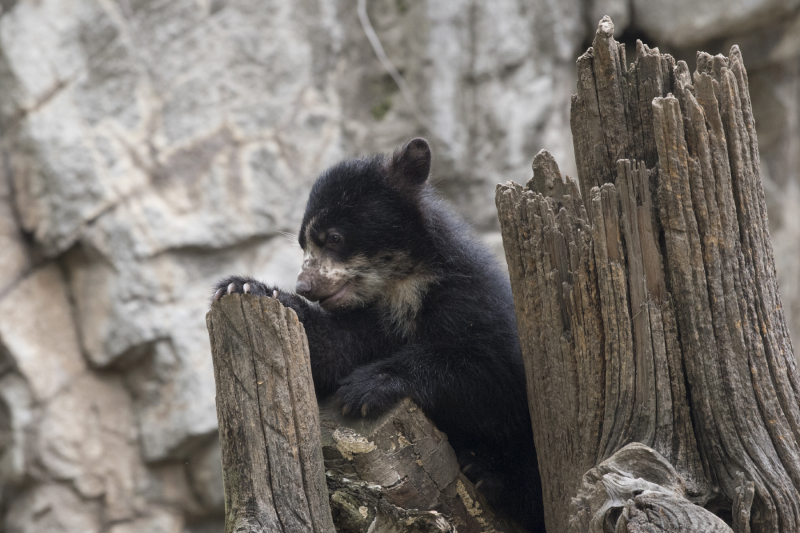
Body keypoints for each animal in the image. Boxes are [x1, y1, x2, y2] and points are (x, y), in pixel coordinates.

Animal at [213, 138, 544, 531]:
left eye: (334, 237)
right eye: (304, 245)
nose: (305, 286)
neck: (399, 287)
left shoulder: (475, 300)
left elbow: (489, 370)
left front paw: (363, 389)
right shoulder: (369, 321)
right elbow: (334, 349)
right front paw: (244, 287)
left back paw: (487, 475)